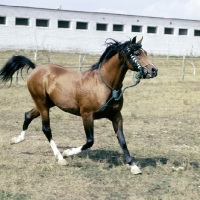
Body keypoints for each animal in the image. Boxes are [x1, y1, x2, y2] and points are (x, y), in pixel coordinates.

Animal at [0, 36, 158, 174]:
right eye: (136, 53)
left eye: (145, 52)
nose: (153, 70)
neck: (104, 85)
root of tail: (36, 68)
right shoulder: (86, 115)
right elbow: (89, 141)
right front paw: (67, 152)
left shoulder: (116, 116)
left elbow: (122, 140)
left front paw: (133, 166)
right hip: (42, 103)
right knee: (46, 129)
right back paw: (60, 157)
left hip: (47, 104)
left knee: (28, 115)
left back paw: (17, 140)